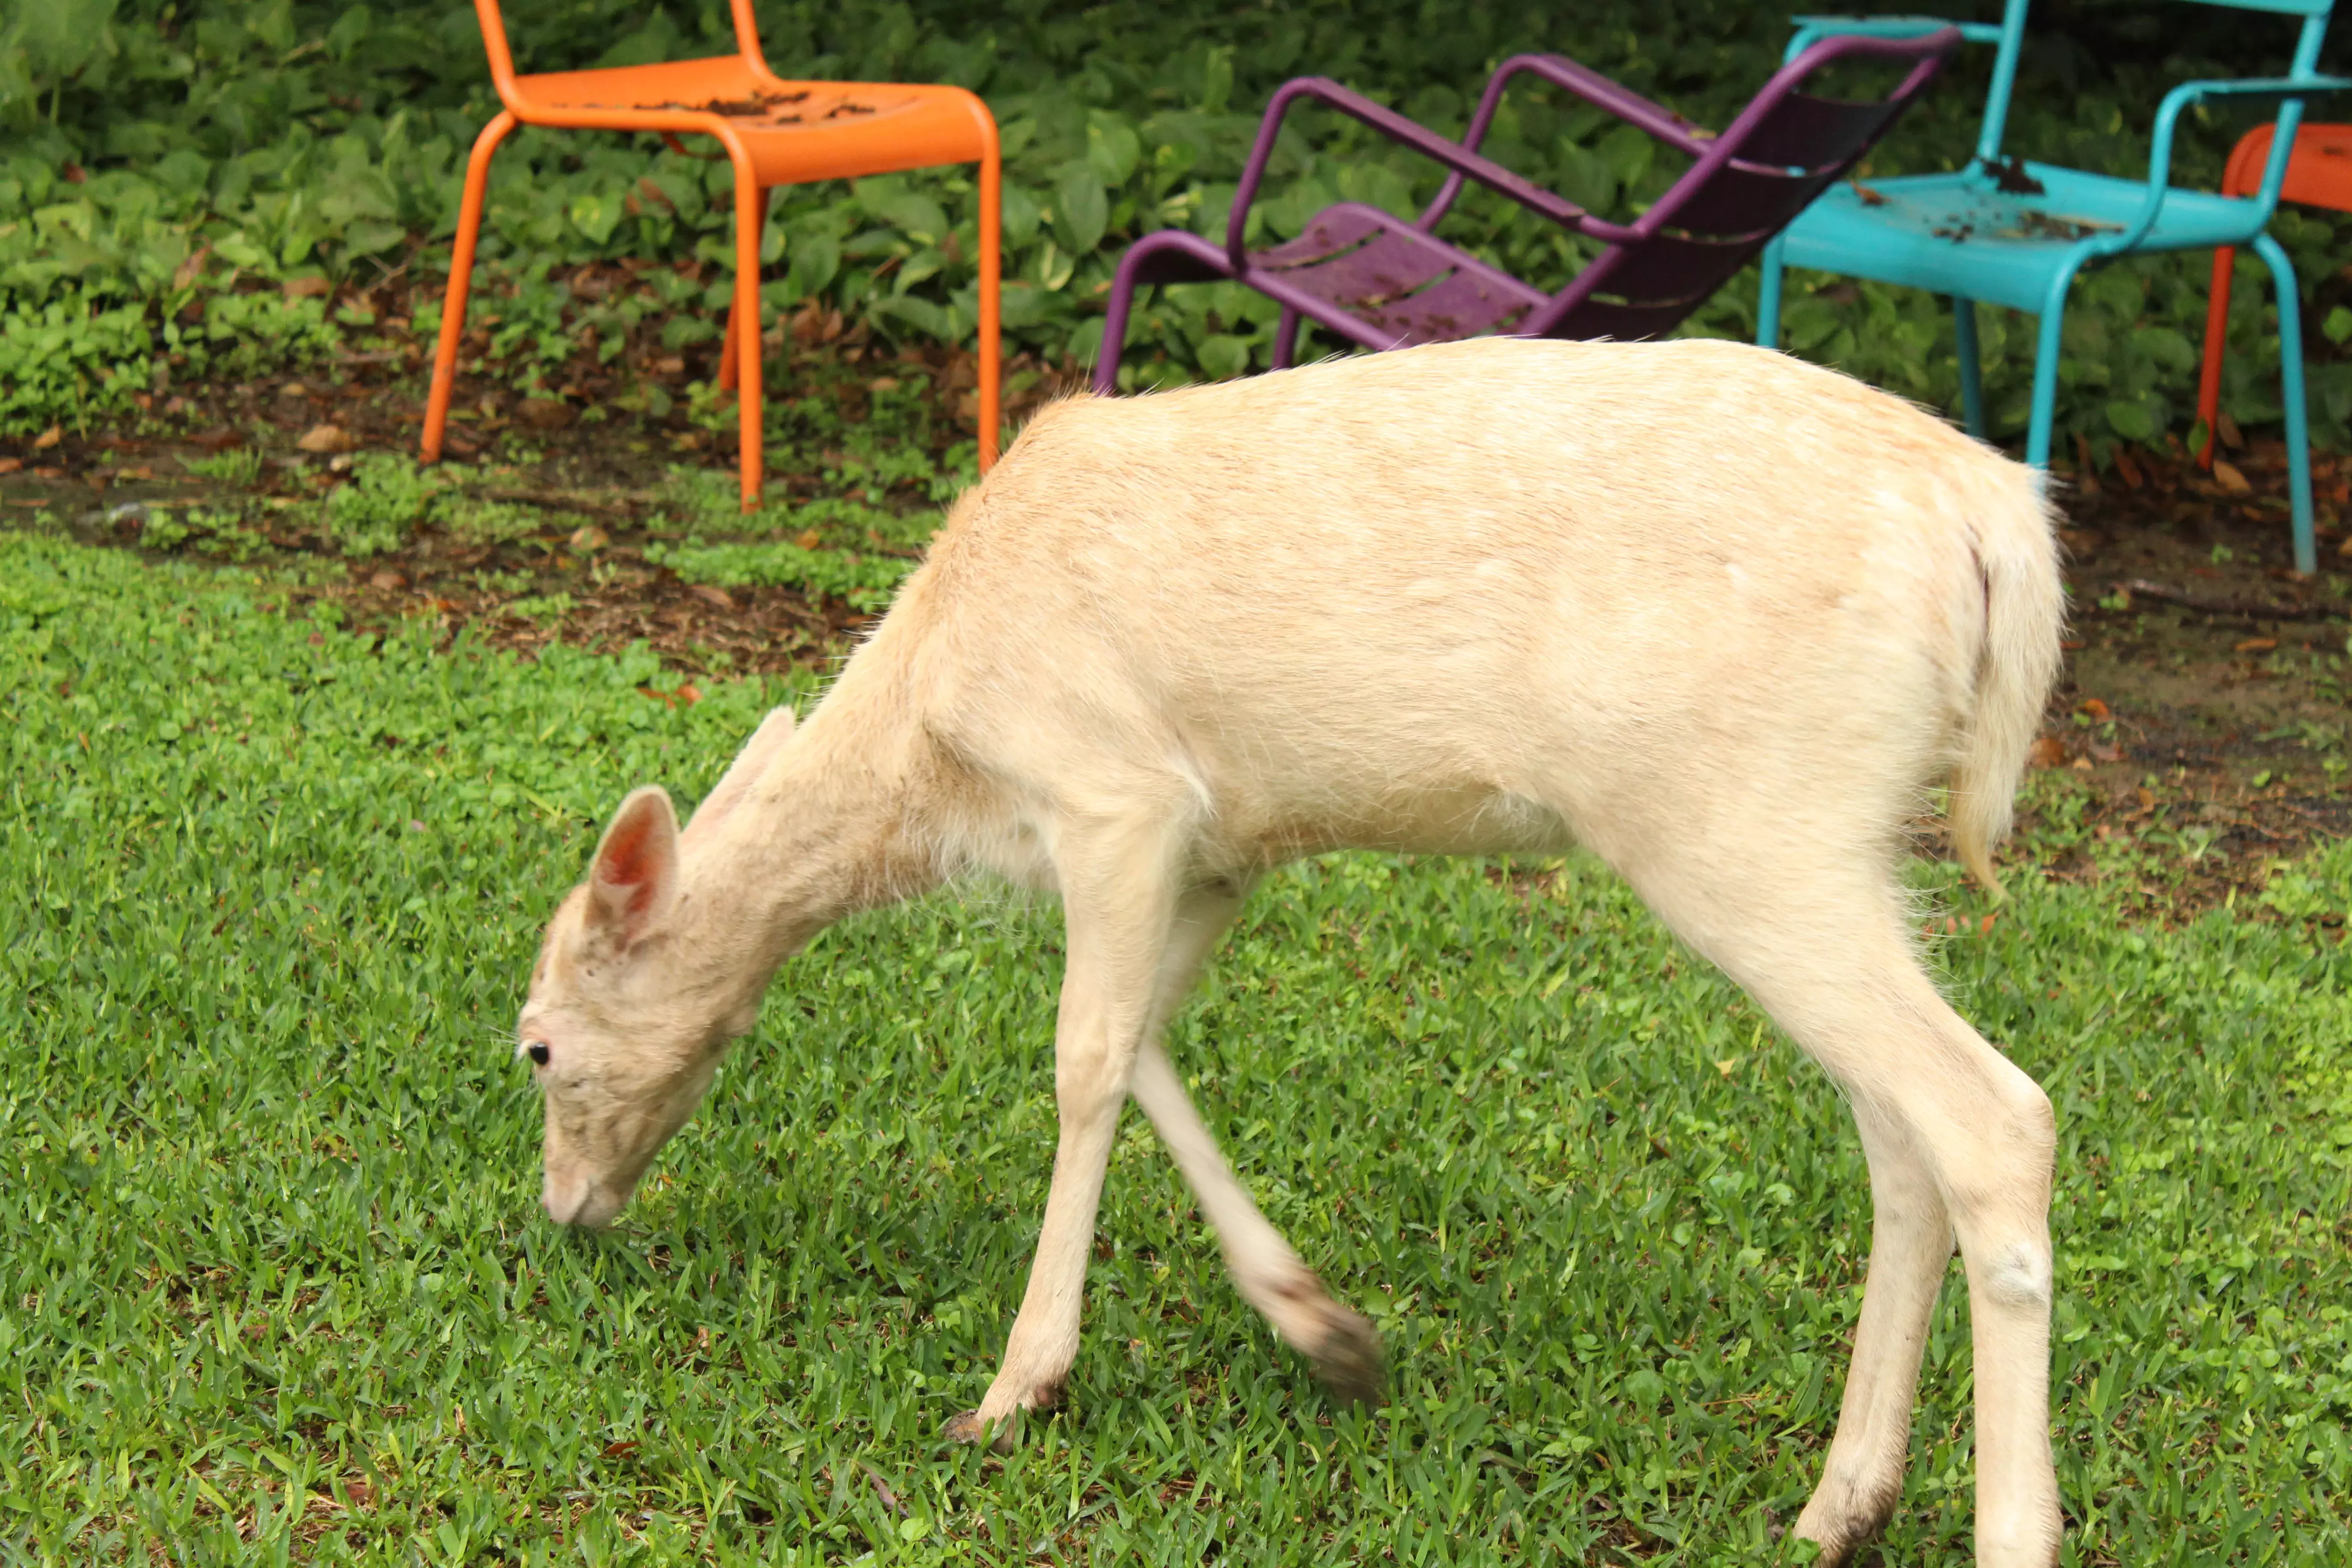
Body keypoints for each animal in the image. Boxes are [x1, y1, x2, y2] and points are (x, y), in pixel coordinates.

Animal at [524, 338, 2069, 1561]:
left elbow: (1085, 1061)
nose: (563, 1208)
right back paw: (1841, 1505)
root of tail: (1999, 526)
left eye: (538, 1049)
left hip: (1742, 818)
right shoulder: (1223, 847)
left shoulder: (1111, 790)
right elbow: (1149, 1044)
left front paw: (1019, 1389)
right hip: (1836, 839)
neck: (936, 754)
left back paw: (1998, 1527)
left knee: (1995, 1113)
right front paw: (1327, 1332)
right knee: (1901, 1140)